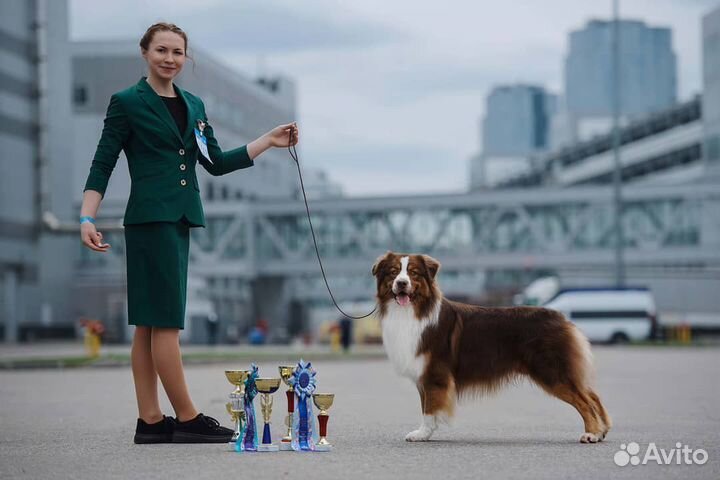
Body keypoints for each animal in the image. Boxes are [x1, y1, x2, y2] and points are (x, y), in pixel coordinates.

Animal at [372, 253, 612, 444]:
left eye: (413, 273)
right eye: (393, 272)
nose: (401, 283)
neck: (412, 312)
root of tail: (560, 316)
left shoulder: (434, 374)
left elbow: (429, 408)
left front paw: (422, 434)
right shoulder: (425, 373)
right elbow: (426, 405)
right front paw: (425, 433)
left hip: (552, 371)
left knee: (584, 401)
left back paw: (591, 434)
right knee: (592, 395)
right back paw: (602, 431)